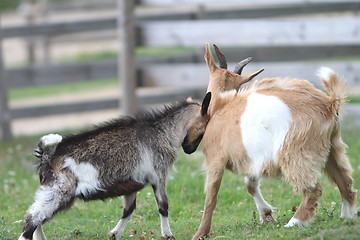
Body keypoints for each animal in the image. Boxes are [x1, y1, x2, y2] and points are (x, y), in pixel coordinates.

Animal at [17, 93, 211, 240]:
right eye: (204, 127)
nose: (189, 150)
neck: (163, 132)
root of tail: (47, 155)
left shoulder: (133, 181)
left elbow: (129, 209)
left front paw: (114, 234)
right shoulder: (158, 176)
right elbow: (163, 206)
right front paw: (167, 234)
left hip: (50, 191)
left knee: (38, 218)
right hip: (58, 191)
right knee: (32, 219)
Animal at [186, 44, 358, 238]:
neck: (218, 108)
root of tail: (330, 103)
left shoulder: (216, 159)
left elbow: (211, 197)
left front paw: (200, 233)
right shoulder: (252, 159)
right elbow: (250, 185)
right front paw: (267, 215)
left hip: (296, 151)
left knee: (313, 189)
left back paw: (294, 222)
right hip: (332, 148)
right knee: (345, 182)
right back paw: (346, 216)